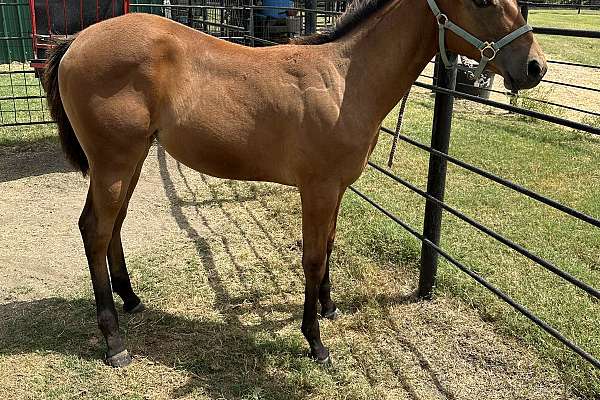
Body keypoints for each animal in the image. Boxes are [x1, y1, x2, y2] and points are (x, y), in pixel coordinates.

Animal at [44, 0, 548, 366]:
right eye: (481, 0)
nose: (535, 67)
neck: (345, 80)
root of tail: (76, 40)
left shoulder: (337, 187)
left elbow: (329, 246)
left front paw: (329, 306)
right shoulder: (317, 188)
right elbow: (311, 257)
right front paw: (316, 342)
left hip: (130, 161)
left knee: (113, 226)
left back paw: (132, 299)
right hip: (113, 163)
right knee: (95, 230)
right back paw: (114, 342)